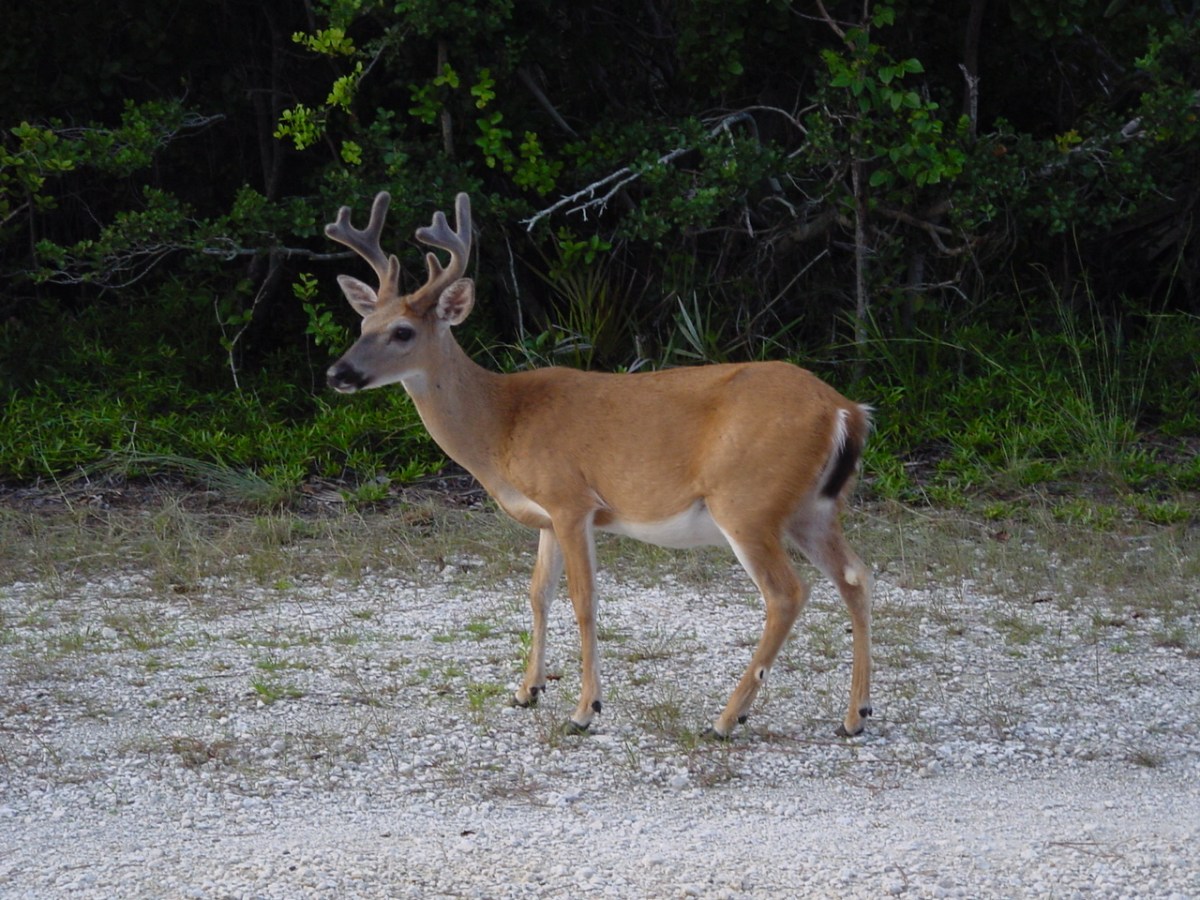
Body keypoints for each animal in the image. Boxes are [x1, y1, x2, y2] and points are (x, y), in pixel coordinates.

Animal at [324, 191, 874, 740]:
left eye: (402, 332)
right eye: (362, 325)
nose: (337, 373)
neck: (501, 425)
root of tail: (845, 410)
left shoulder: (572, 499)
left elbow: (584, 601)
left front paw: (584, 709)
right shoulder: (546, 515)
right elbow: (538, 593)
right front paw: (527, 691)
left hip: (747, 502)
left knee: (787, 593)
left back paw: (726, 717)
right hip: (811, 508)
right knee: (854, 576)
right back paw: (855, 715)